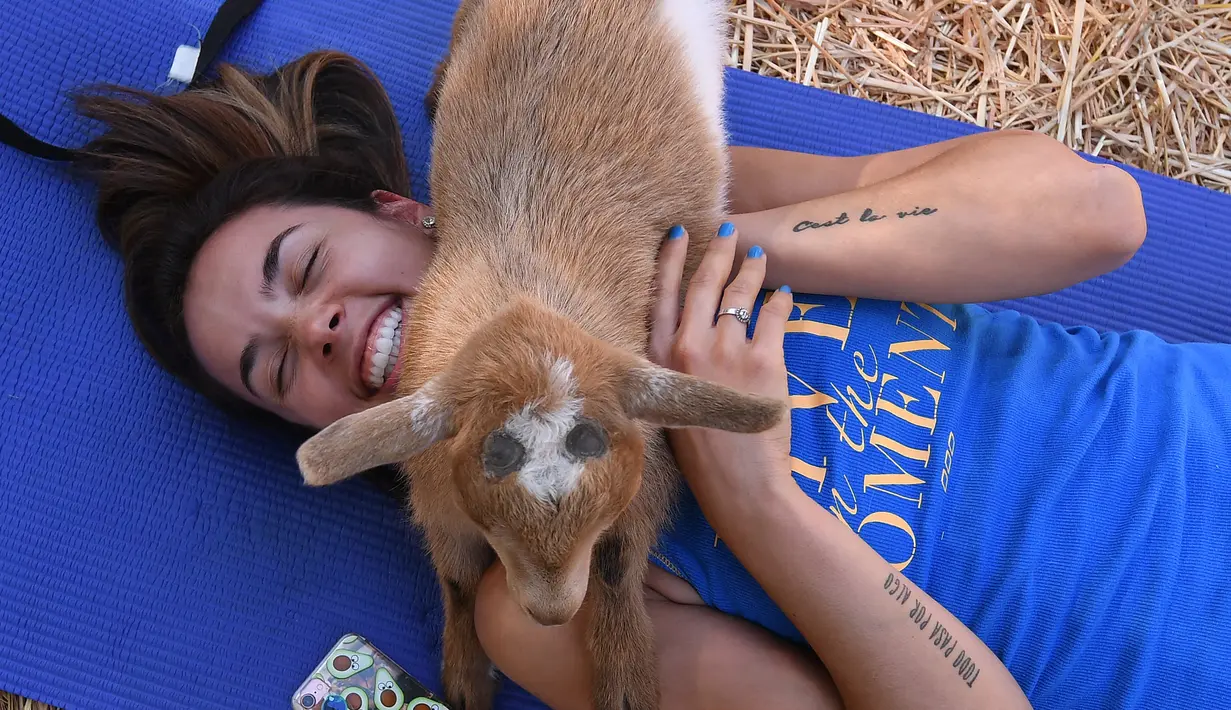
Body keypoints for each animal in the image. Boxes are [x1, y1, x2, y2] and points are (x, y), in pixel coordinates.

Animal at [296, 1, 786, 708]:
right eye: (494, 520)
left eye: (599, 513)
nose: (551, 613)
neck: (522, 284)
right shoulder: (444, 507)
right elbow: (458, 583)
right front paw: (465, 679)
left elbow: (616, 569)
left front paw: (627, 681)